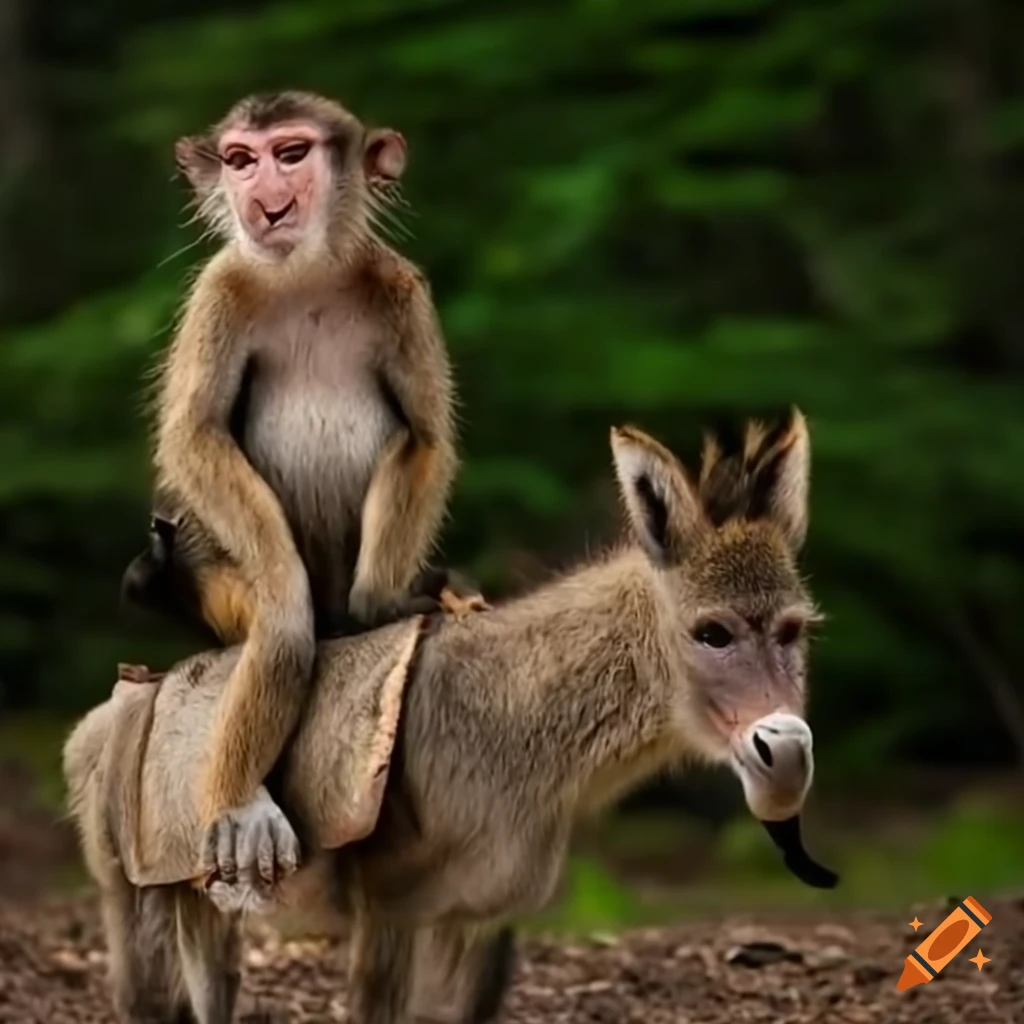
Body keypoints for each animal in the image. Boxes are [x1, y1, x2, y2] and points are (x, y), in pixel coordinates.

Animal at [124, 90, 485, 897]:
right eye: (239, 159)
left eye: (290, 154)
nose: (260, 196)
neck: (305, 280)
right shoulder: (222, 288)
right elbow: (195, 438)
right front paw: (286, 601)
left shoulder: (398, 289)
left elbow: (422, 438)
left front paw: (384, 601)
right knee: (278, 631)